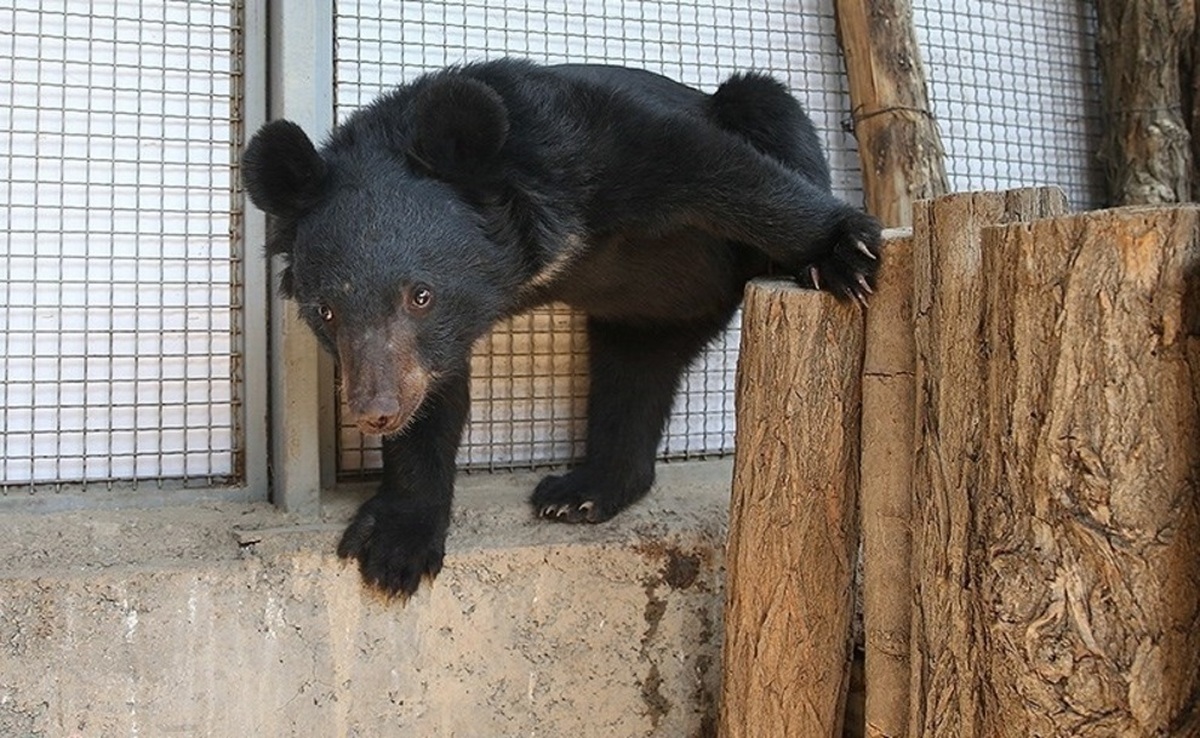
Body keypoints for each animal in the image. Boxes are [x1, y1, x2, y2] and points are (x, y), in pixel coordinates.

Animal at [243, 59, 883, 600]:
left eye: (421, 294)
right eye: (325, 310)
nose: (376, 410)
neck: (531, 255)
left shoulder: (586, 141)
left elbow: (718, 168)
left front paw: (843, 251)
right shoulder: (438, 343)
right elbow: (437, 396)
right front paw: (396, 546)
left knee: (766, 102)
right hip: (647, 317)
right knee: (634, 379)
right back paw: (582, 492)